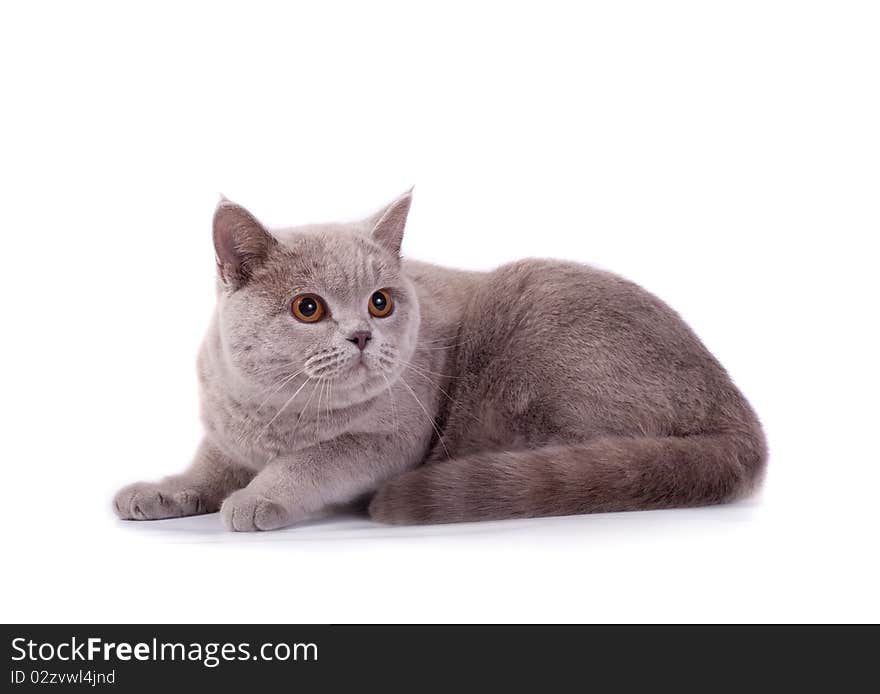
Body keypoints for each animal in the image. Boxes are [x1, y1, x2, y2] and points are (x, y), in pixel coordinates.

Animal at [113, 192, 768, 532]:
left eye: (380, 302)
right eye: (308, 308)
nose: (361, 336)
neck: (280, 412)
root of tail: (738, 412)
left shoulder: (389, 440)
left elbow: (313, 461)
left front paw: (257, 497)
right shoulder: (223, 435)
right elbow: (202, 470)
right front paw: (159, 492)